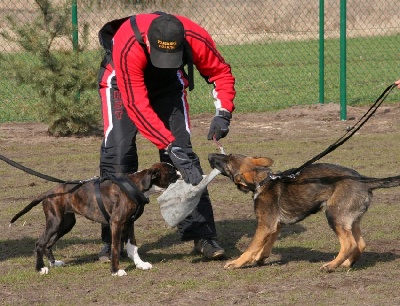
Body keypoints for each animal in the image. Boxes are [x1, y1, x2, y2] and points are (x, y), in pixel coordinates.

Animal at [9, 163, 179, 278]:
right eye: (171, 172)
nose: (181, 173)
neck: (137, 186)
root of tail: (50, 191)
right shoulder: (116, 223)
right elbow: (115, 248)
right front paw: (115, 271)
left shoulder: (129, 224)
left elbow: (133, 247)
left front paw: (140, 264)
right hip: (55, 222)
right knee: (40, 243)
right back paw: (40, 268)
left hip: (66, 224)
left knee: (48, 244)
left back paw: (54, 263)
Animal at [208, 154, 400, 272]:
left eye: (227, 161)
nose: (210, 155)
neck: (262, 181)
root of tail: (364, 180)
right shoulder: (275, 226)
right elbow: (267, 244)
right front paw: (261, 258)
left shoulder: (265, 225)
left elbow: (251, 247)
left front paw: (237, 263)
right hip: (351, 220)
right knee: (360, 244)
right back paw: (345, 263)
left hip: (334, 216)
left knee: (349, 244)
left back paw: (330, 266)